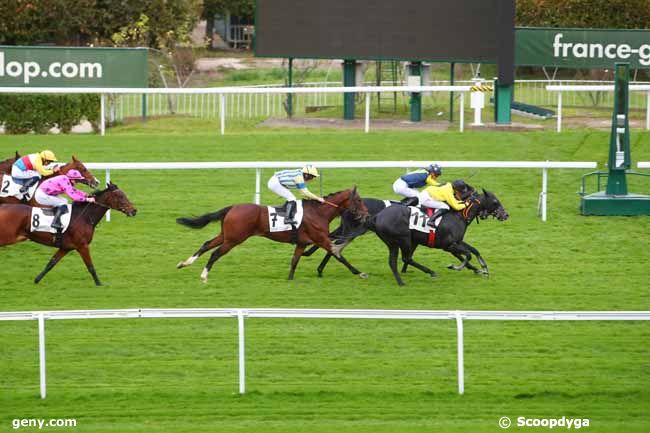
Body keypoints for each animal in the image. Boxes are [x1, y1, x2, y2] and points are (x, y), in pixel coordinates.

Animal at [0, 181, 137, 286]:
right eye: (120, 196)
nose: (134, 210)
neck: (84, 217)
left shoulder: (65, 247)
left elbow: (51, 263)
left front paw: (36, 280)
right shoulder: (82, 246)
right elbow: (90, 266)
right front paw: (99, 283)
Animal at [175, 186, 368, 284]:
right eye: (359, 200)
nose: (366, 214)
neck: (319, 212)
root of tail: (232, 207)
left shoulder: (302, 243)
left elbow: (294, 260)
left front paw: (289, 280)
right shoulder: (321, 239)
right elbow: (338, 254)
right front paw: (360, 273)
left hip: (226, 235)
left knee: (207, 244)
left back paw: (185, 263)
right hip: (234, 239)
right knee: (215, 253)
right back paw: (204, 275)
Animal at [368, 188, 508, 284]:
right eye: (495, 202)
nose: (506, 215)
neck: (459, 215)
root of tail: (378, 216)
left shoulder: (457, 242)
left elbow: (474, 251)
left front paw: (482, 269)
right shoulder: (449, 245)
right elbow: (467, 255)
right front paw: (455, 267)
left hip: (404, 241)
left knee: (404, 259)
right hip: (403, 239)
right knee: (404, 258)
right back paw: (424, 274)